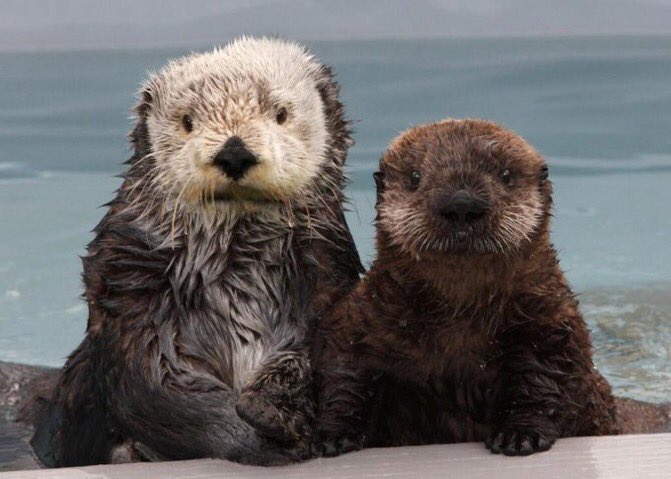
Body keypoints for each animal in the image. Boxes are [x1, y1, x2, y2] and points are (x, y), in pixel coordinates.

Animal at [14, 37, 363, 467]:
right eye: (187, 121)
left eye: (281, 113)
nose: (234, 153)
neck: (237, 260)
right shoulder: (133, 284)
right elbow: (156, 381)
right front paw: (253, 438)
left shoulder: (327, 276)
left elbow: (320, 351)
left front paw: (273, 408)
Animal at [313, 119, 670, 457]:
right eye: (414, 177)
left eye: (506, 175)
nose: (461, 203)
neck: (459, 317)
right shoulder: (367, 317)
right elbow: (346, 371)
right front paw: (333, 436)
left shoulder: (549, 320)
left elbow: (545, 379)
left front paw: (521, 435)